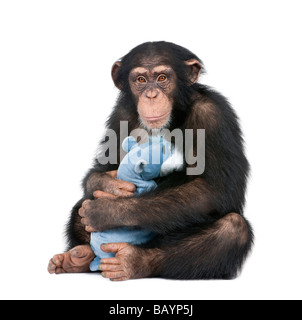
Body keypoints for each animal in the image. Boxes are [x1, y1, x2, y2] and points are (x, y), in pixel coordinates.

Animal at [48, 42, 254, 280]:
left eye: (162, 77)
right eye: (140, 80)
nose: (152, 94)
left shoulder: (213, 115)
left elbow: (215, 189)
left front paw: (107, 211)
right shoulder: (122, 114)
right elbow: (104, 168)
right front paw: (108, 185)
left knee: (233, 229)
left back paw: (132, 261)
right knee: (79, 208)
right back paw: (78, 258)